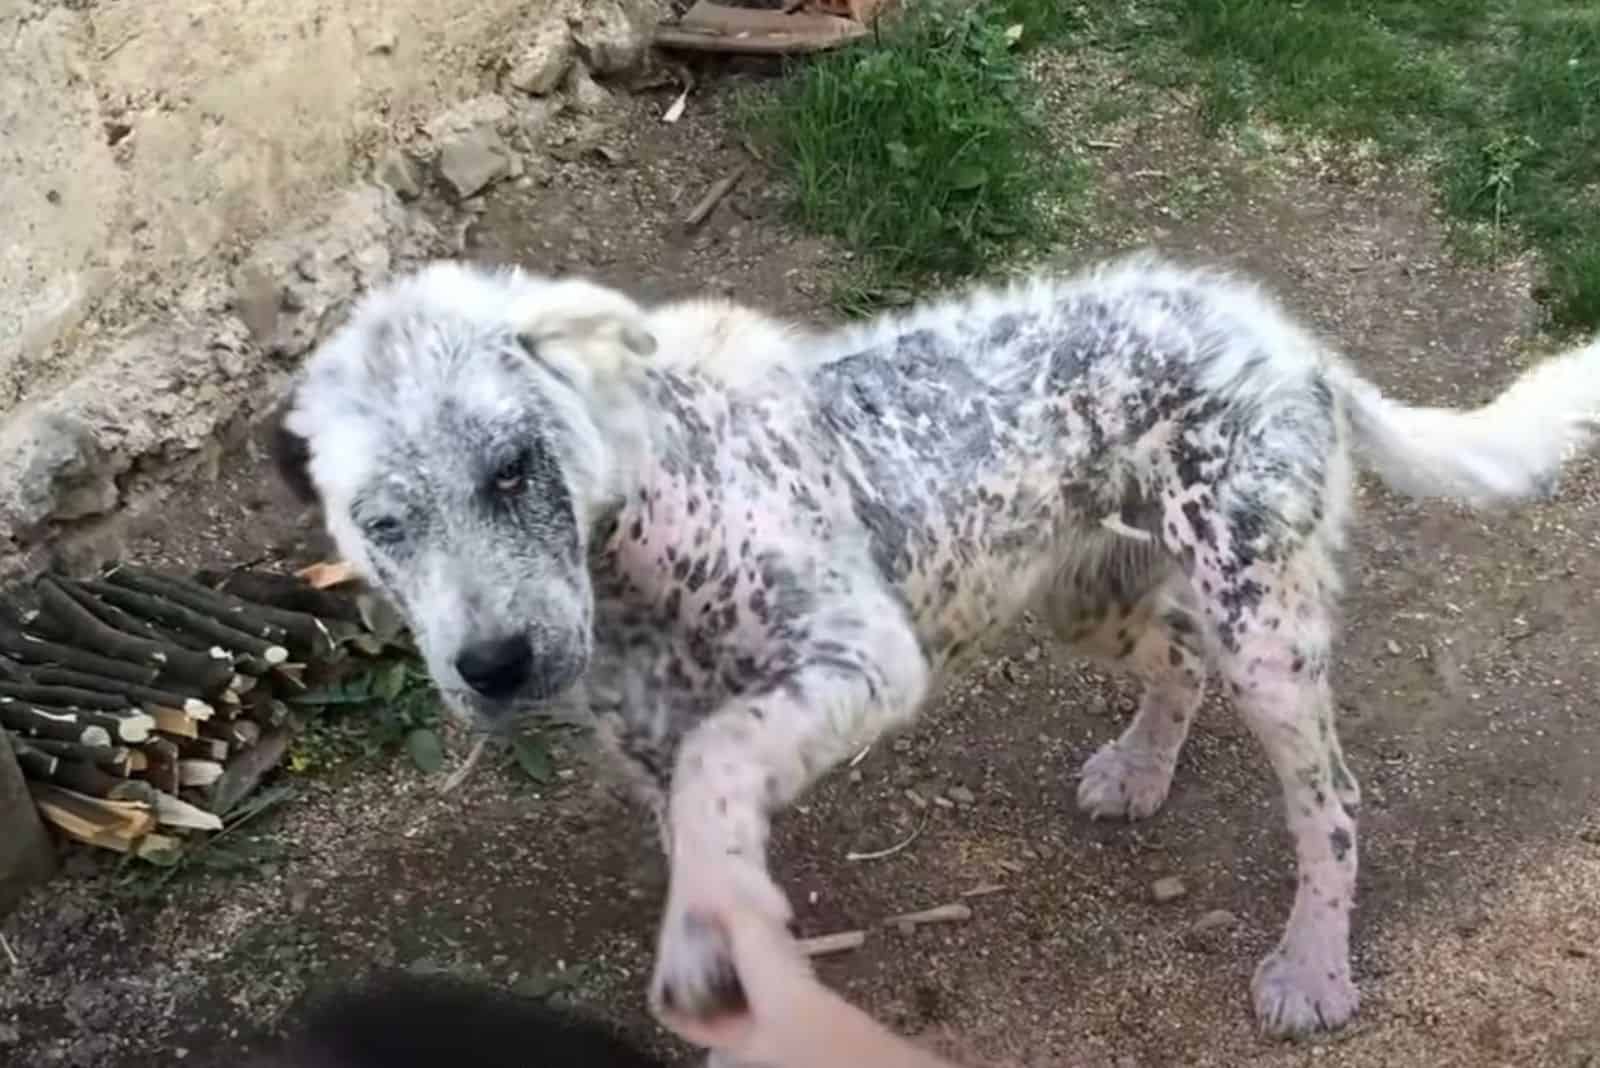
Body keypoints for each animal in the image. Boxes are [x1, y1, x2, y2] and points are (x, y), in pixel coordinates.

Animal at [275, 255, 1600, 1042]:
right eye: (382, 525)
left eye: (511, 469)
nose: (493, 665)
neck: (644, 529)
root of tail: (1282, 336)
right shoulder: (653, 756)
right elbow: (701, 840)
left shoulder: (858, 662)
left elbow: (724, 758)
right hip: (1085, 593)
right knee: (1173, 668)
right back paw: (1139, 769)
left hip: (1261, 625)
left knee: (1330, 804)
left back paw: (1312, 966)